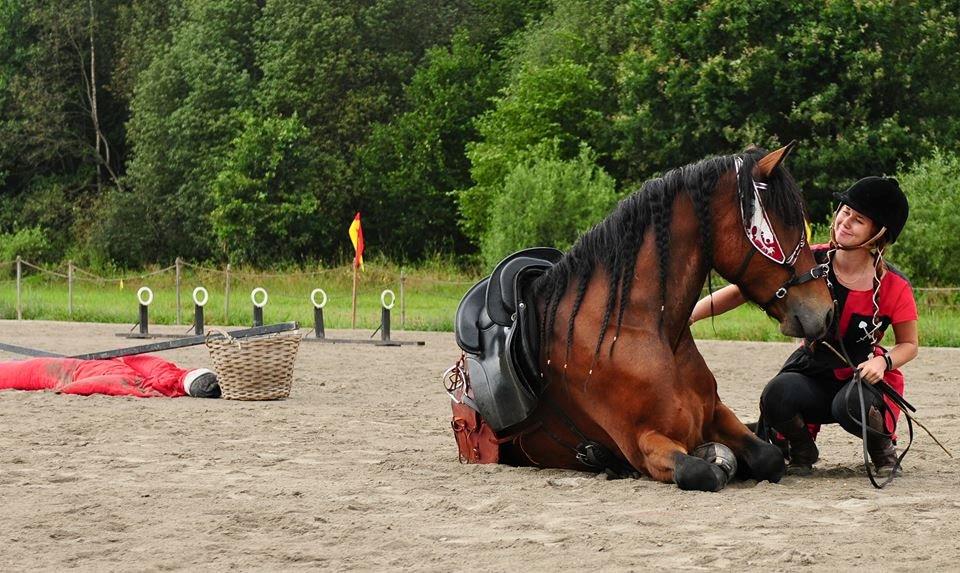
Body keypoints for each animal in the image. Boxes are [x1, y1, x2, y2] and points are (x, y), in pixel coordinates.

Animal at [450, 144, 832, 492]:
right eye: (786, 223)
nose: (825, 310)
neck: (643, 330)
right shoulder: (644, 443)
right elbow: (702, 472)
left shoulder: (716, 414)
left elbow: (769, 457)